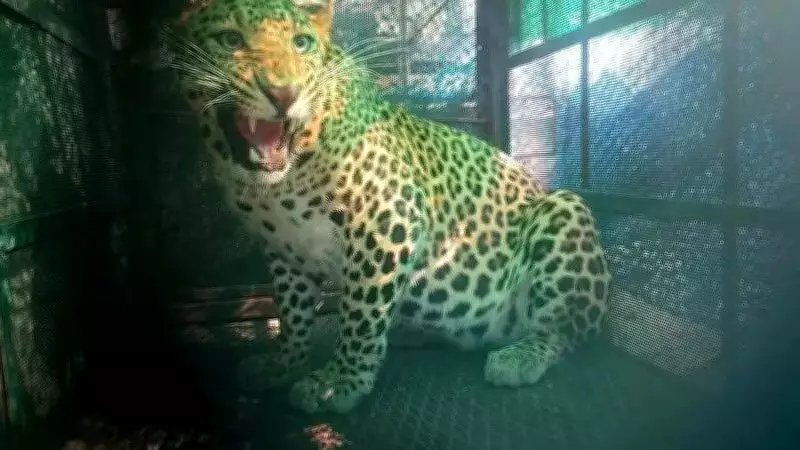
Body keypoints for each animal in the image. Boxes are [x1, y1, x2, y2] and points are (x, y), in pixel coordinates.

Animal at [166, 0, 612, 414]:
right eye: (230, 40)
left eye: (300, 43)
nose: (283, 94)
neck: (279, 183)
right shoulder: (283, 249)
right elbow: (293, 312)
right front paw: (284, 363)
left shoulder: (386, 217)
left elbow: (359, 311)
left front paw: (339, 381)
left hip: (565, 212)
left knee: (562, 331)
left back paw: (520, 356)